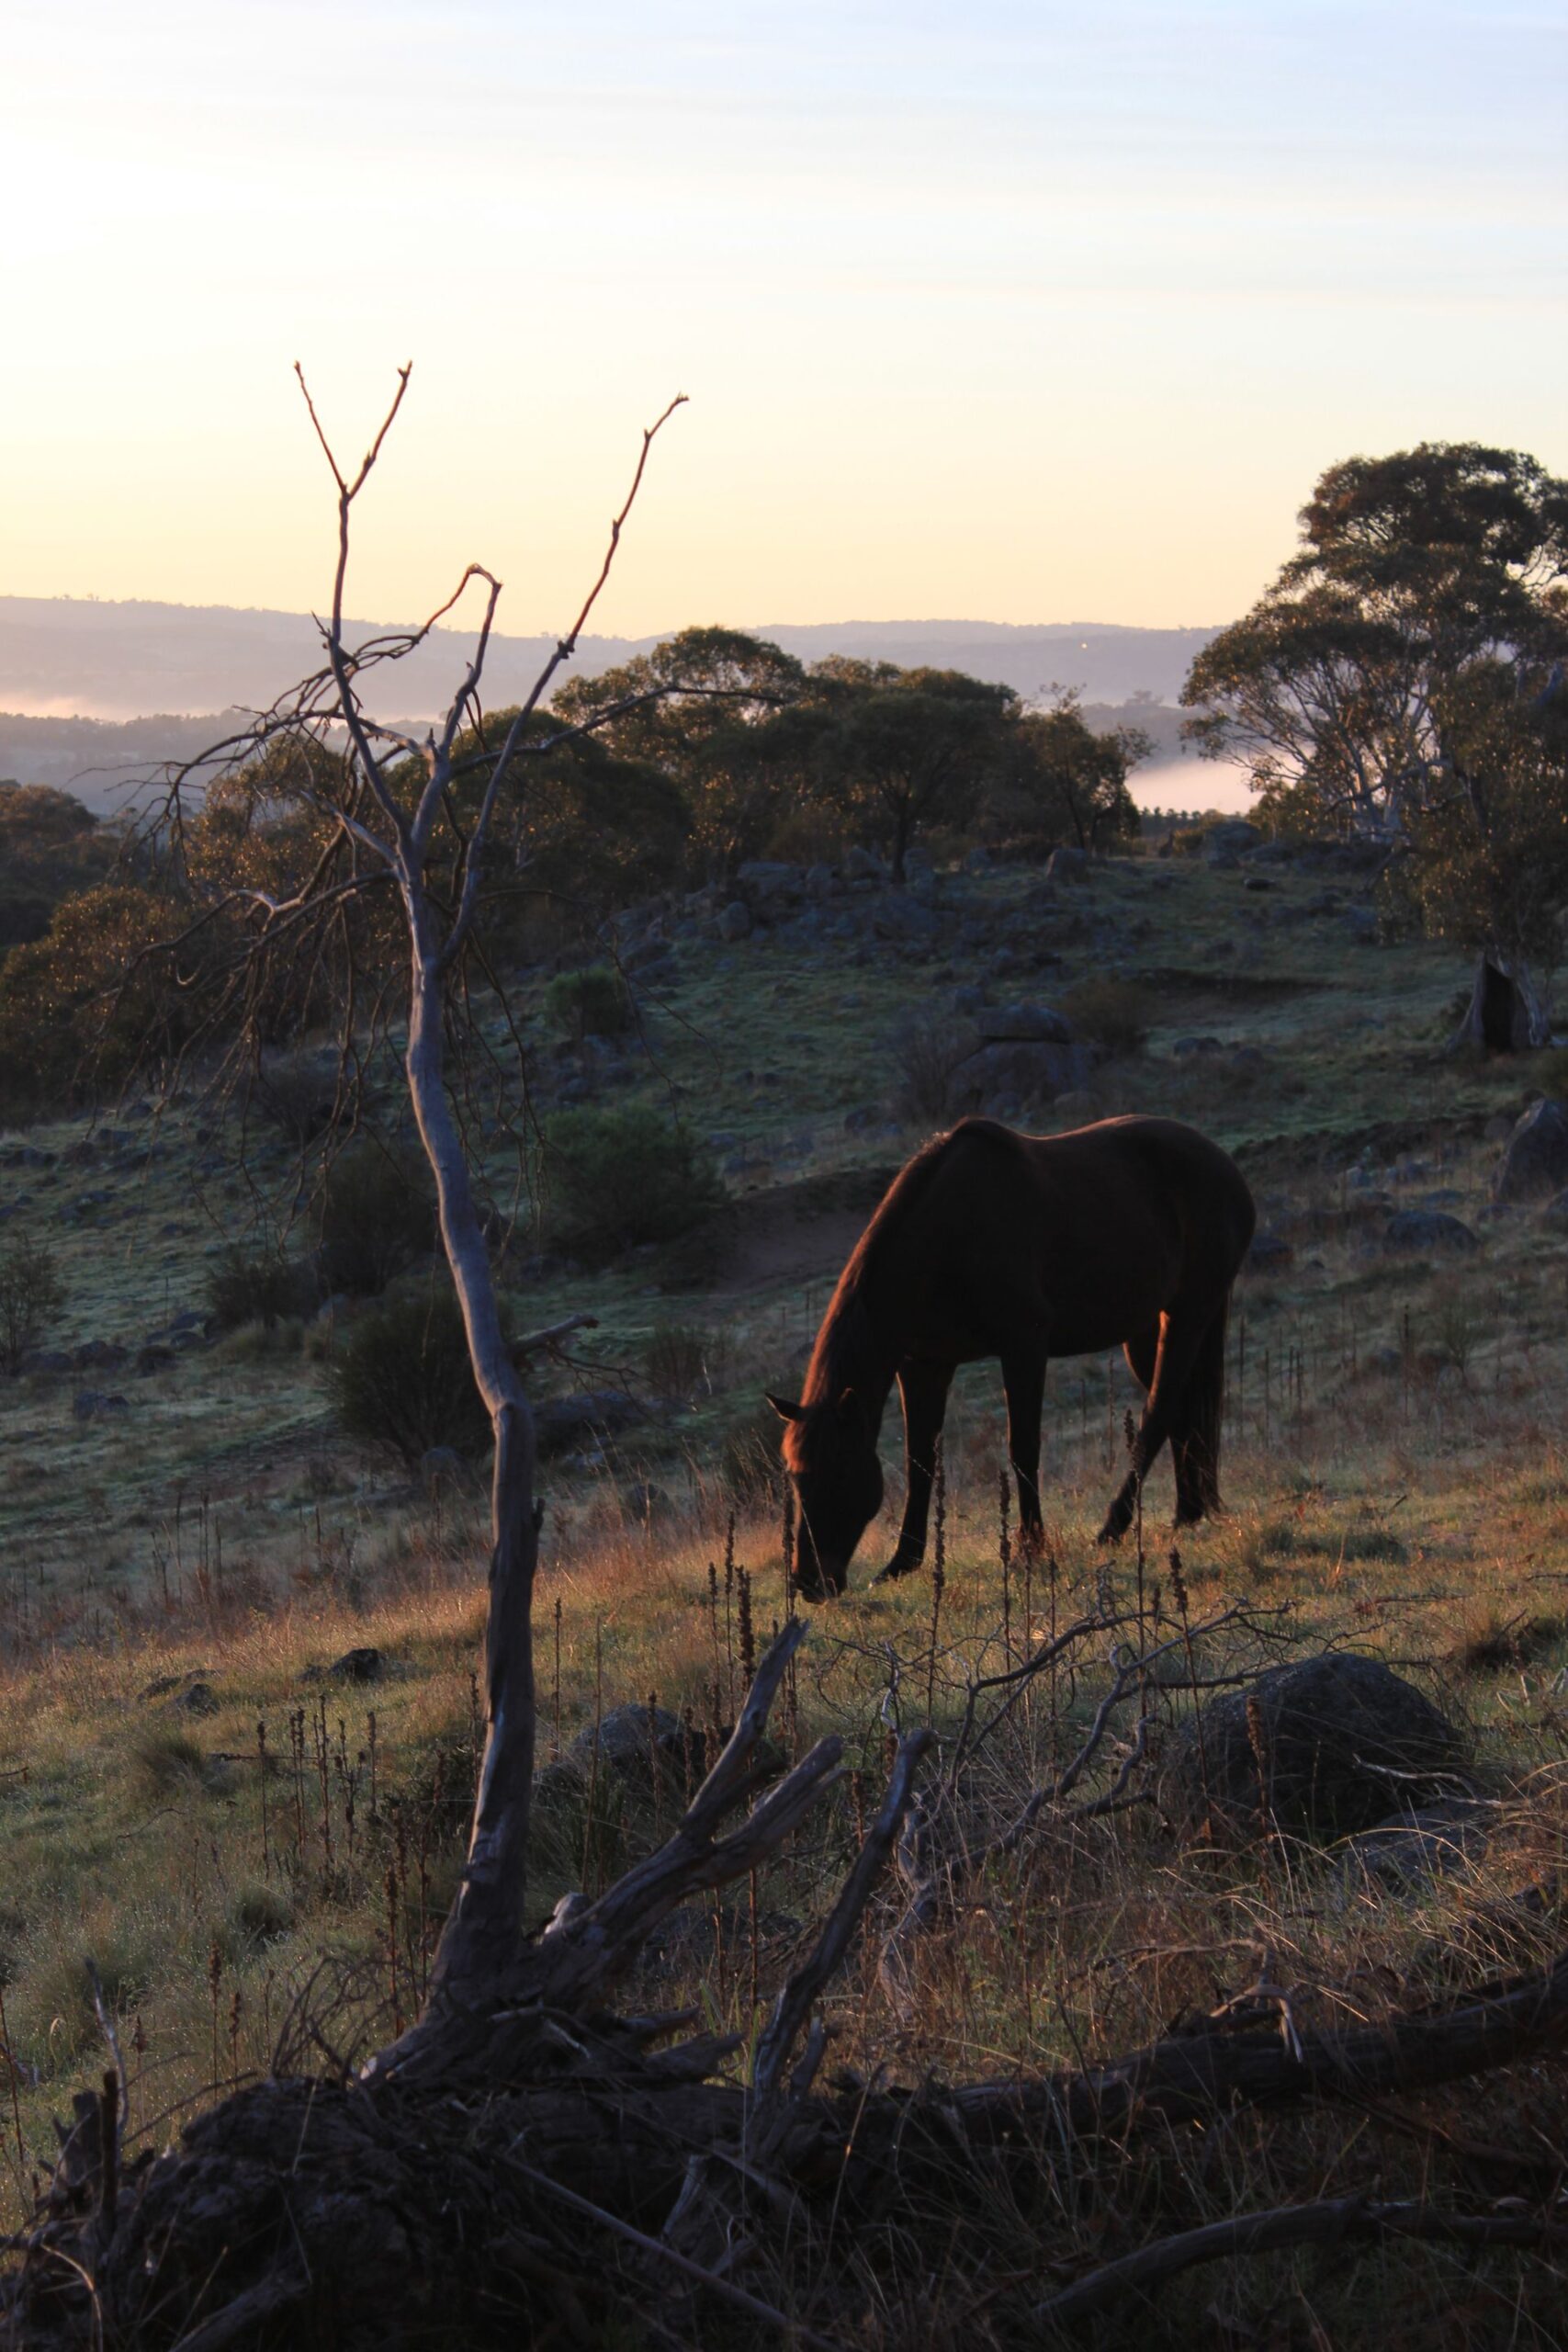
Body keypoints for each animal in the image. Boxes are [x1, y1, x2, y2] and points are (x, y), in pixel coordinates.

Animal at [768, 1115, 1255, 1600]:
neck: (947, 1236)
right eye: (795, 1477)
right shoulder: (923, 1367)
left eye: (838, 1473)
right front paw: (902, 1562)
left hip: (1189, 1312)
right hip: (1147, 1329)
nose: (809, 1582)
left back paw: (1114, 1527)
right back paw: (1188, 1513)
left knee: (1160, 1410)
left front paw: (1031, 1546)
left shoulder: (1024, 1345)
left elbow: (1022, 1447)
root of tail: (1225, 1167)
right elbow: (919, 1461)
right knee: (1182, 1410)